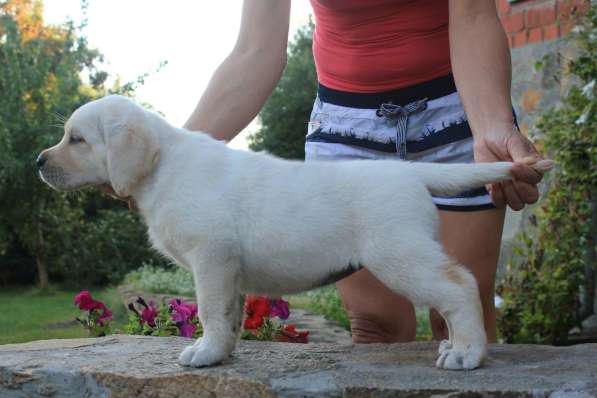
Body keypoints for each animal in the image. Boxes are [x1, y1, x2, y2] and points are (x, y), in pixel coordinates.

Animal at [36, 95, 548, 370]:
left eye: (77, 140)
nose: (38, 161)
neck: (163, 166)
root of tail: (409, 174)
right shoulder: (228, 268)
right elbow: (230, 316)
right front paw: (221, 353)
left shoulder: (211, 257)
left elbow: (210, 312)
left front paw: (203, 352)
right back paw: (454, 346)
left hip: (399, 255)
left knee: (459, 286)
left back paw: (467, 355)